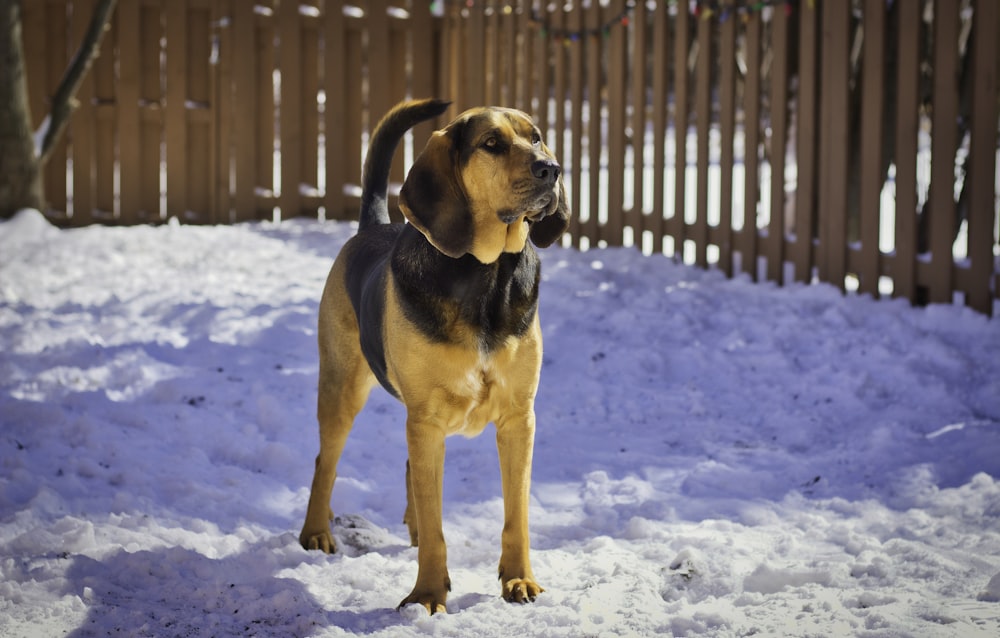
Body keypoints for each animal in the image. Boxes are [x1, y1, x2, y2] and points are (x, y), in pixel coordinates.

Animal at [298, 96, 572, 616]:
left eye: (537, 137)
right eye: (492, 143)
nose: (551, 169)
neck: (486, 277)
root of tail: (372, 226)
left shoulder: (518, 419)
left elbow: (517, 513)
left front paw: (519, 579)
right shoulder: (426, 421)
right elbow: (436, 524)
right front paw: (426, 595)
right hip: (342, 389)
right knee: (325, 461)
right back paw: (316, 533)